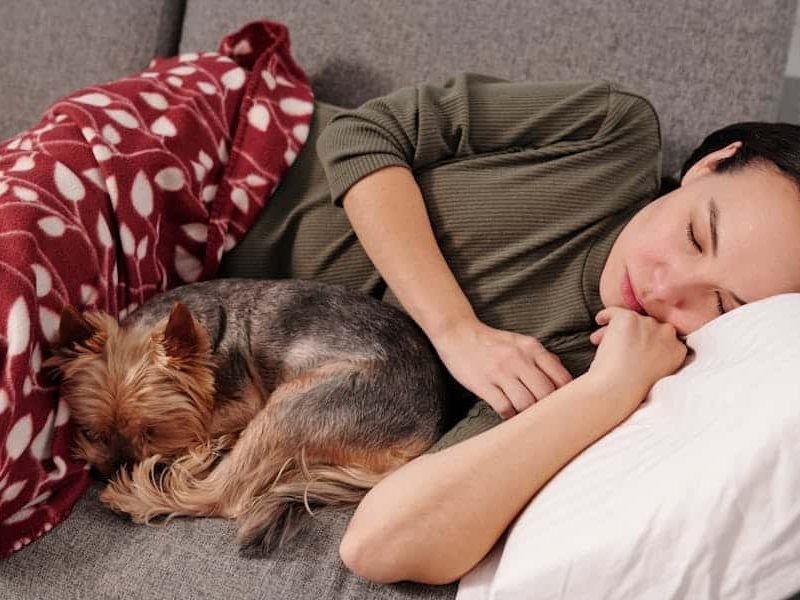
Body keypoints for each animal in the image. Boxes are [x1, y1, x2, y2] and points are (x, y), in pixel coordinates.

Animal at [47, 278, 454, 556]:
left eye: (153, 432)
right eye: (94, 431)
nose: (111, 469)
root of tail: (426, 430)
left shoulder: (245, 401)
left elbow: (205, 429)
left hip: (298, 404)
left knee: (220, 496)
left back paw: (138, 495)